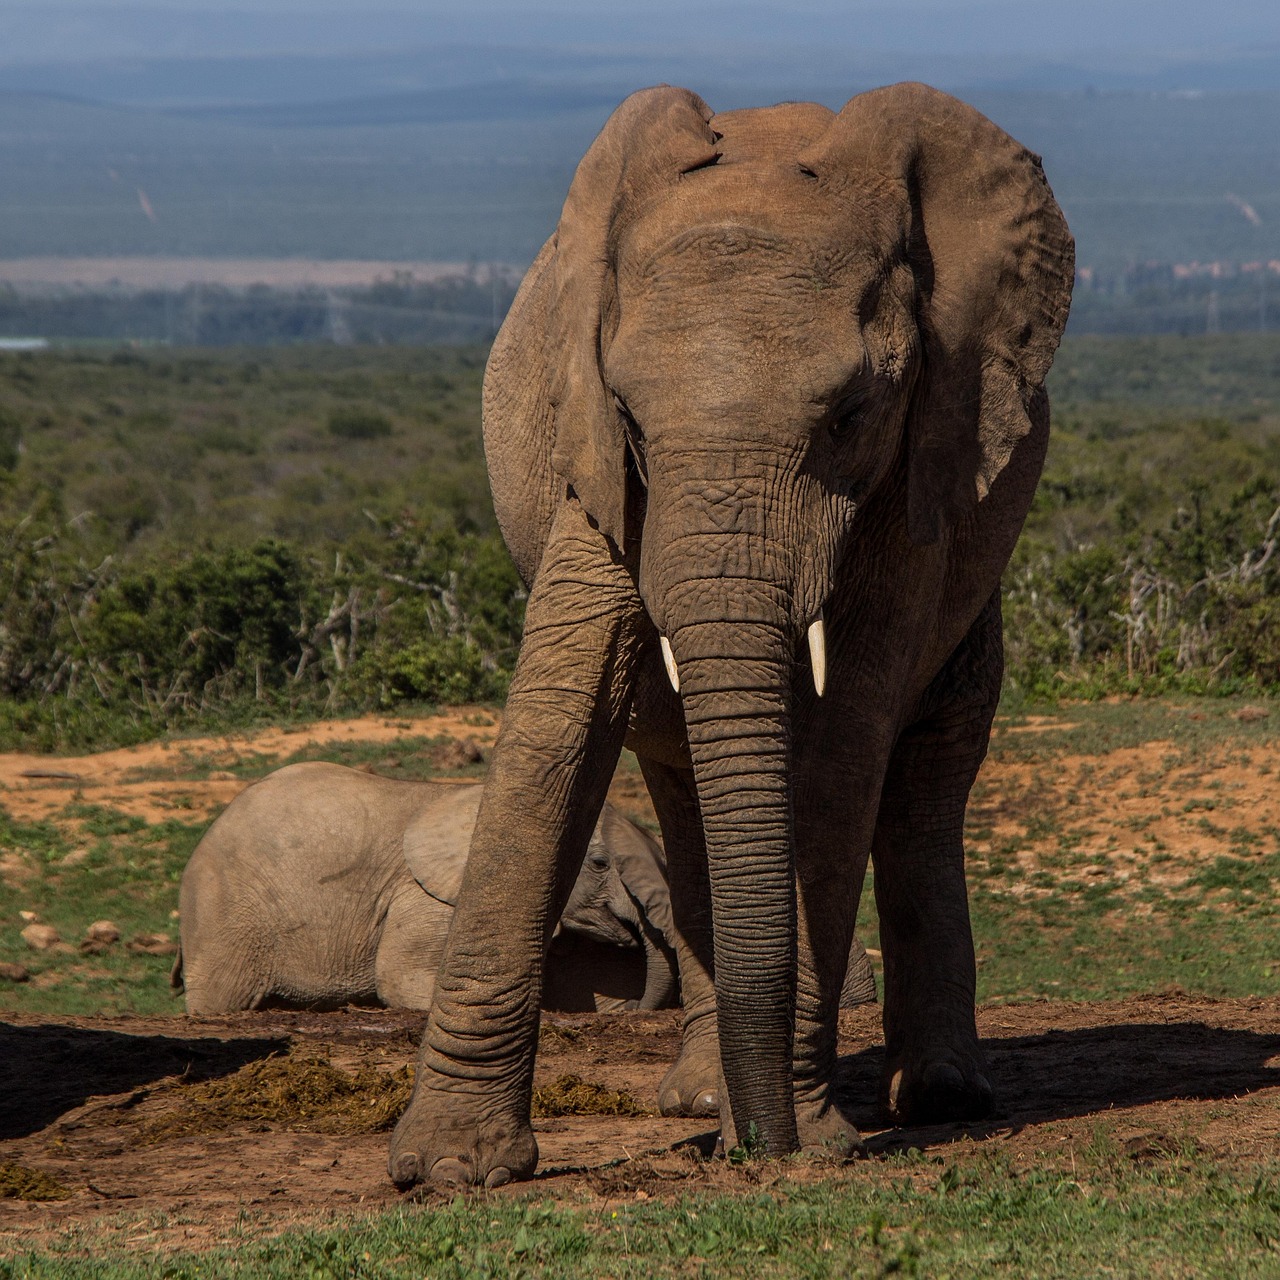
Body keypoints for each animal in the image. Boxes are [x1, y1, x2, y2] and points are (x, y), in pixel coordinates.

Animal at [388, 81, 1072, 1188]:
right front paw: (449, 1171)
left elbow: (842, 752)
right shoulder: (594, 470)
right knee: (680, 783)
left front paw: (814, 1136)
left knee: (924, 780)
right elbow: (557, 720)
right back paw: (707, 1100)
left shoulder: (924, 454)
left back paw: (930, 1097)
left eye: (850, 415)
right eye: (628, 416)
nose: (763, 1149)